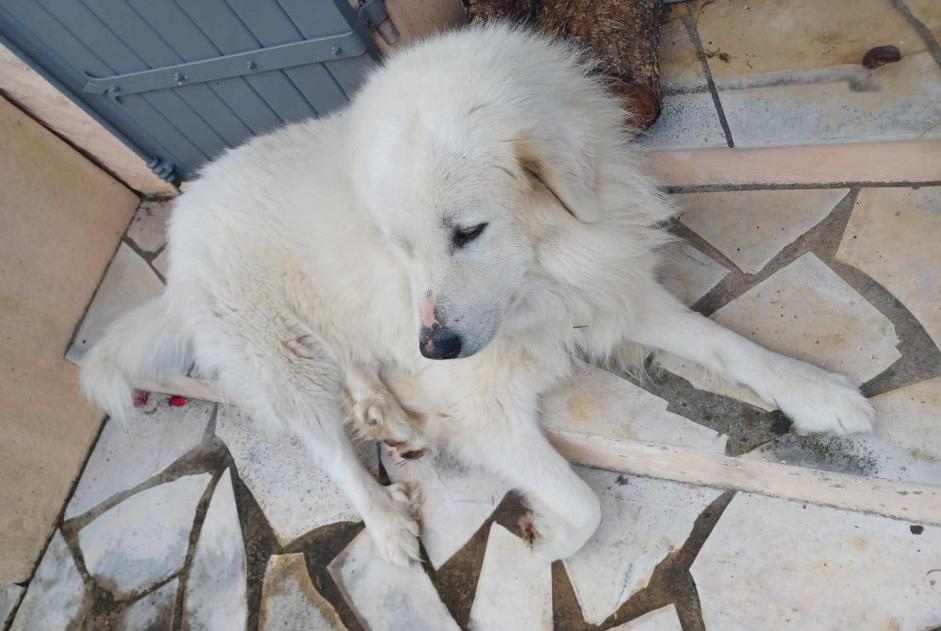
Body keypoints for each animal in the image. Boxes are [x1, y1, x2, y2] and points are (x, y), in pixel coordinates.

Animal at [82, 24, 872, 568]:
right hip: (283, 358)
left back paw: (388, 413)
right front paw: (549, 537)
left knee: (358, 371)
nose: (434, 347)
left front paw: (819, 392)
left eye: (467, 232)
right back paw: (387, 521)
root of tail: (185, 212)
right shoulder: (483, 409)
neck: (541, 274)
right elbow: (583, 499)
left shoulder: (610, 290)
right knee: (327, 446)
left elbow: (730, 345)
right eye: (402, 248)